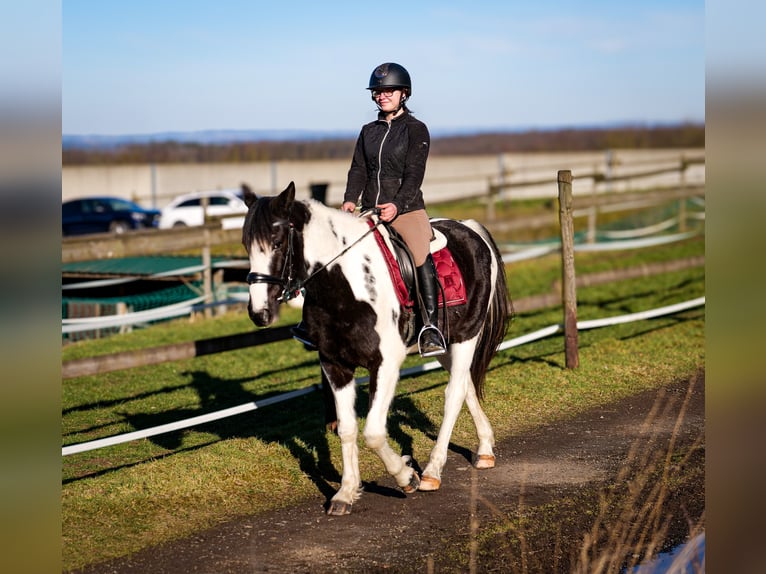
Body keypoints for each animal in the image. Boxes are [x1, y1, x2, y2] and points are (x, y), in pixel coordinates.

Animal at [243, 181, 512, 516]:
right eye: (246, 245)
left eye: (278, 242)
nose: (259, 313)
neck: (344, 286)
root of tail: (470, 228)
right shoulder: (335, 364)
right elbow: (347, 428)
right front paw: (345, 493)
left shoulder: (385, 363)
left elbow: (372, 431)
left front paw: (406, 476)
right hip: (447, 346)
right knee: (465, 387)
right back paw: (485, 450)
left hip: (467, 336)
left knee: (453, 395)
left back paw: (432, 472)